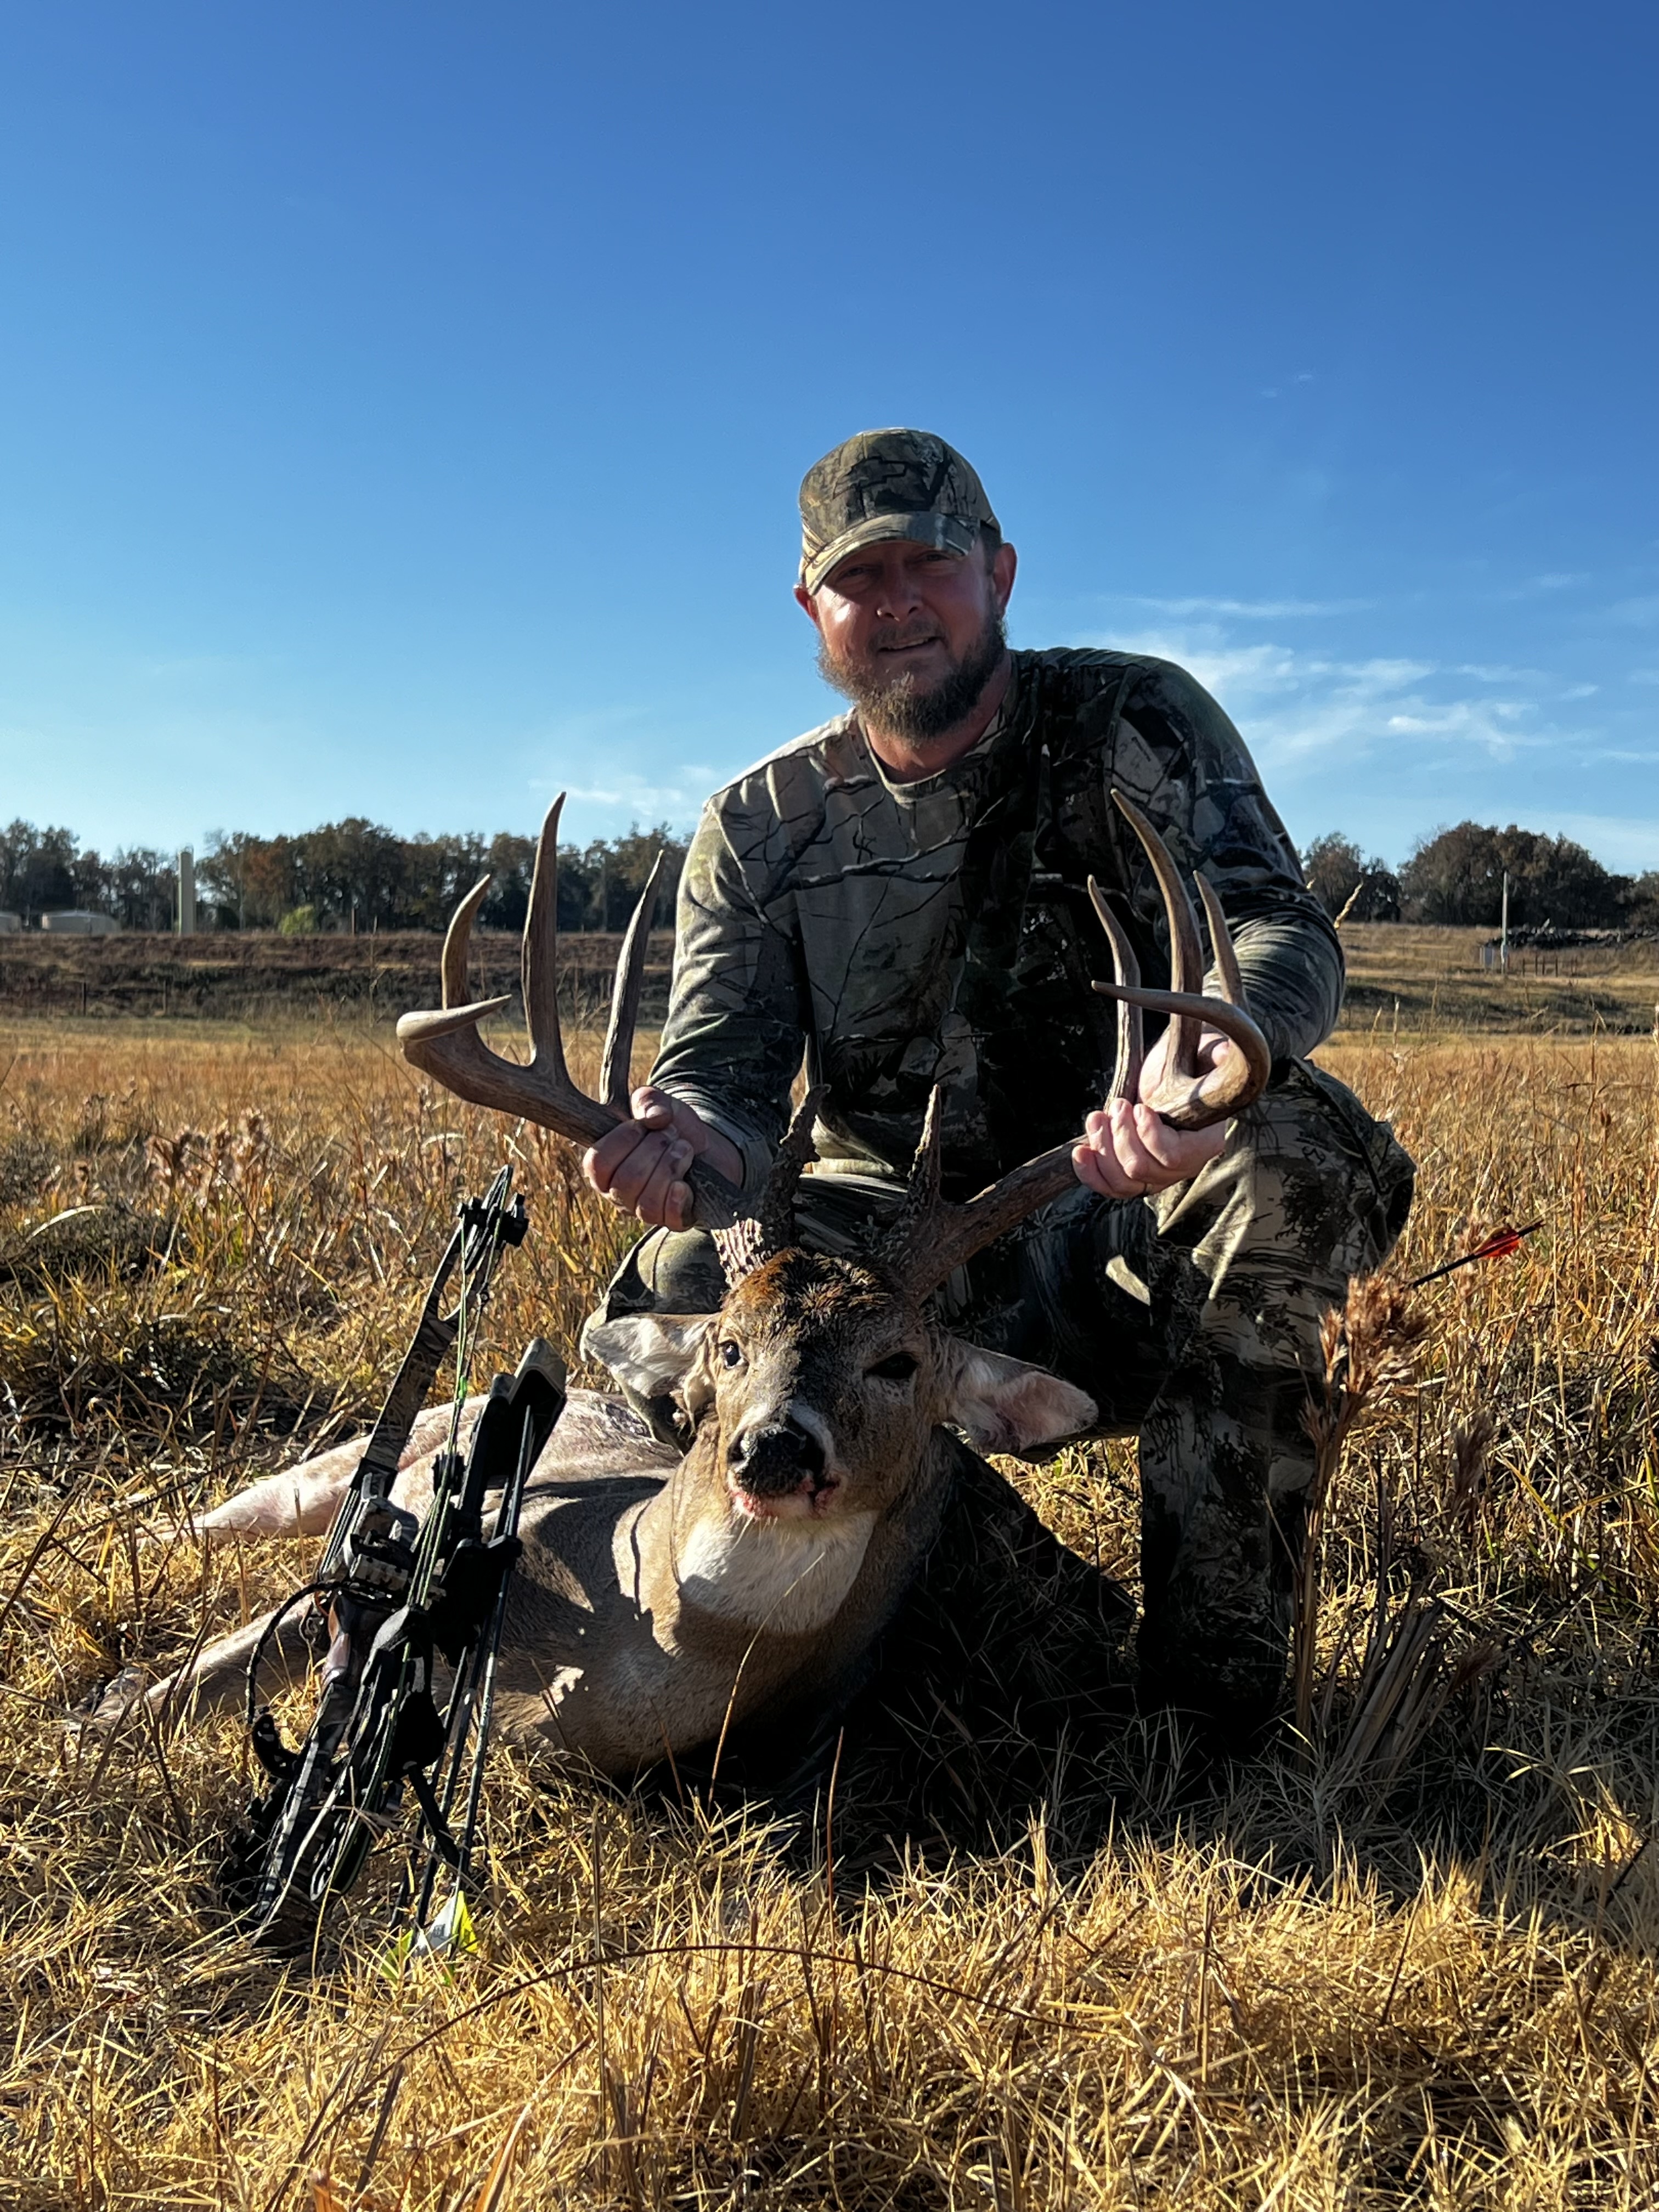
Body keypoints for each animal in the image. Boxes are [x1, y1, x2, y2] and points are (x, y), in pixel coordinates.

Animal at [103, 792, 1271, 1782]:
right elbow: (209, 1669)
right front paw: (106, 1711)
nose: (774, 1447)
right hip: (370, 1446)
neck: (643, 1651)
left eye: (897, 1360)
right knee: (225, 1514)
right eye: (727, 1343)